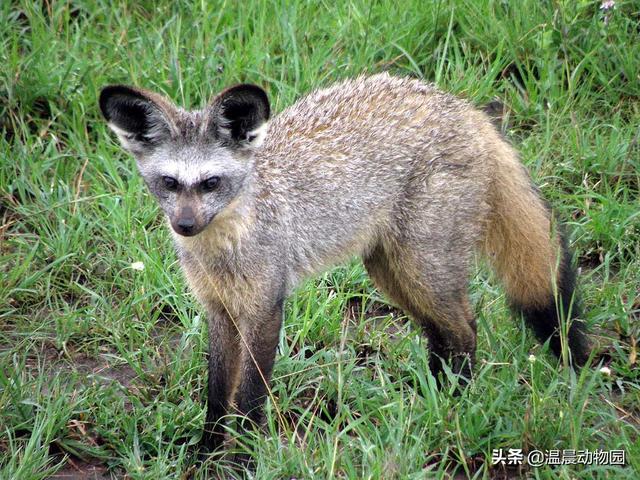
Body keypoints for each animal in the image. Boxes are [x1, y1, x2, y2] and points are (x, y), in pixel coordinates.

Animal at [97, 73, 592, 456]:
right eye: (169, 183)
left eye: (210, 183)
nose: (184, 225)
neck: (226, 249)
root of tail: (461, 106)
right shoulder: (220, 311)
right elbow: (217, 397)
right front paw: (206, 454)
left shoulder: (265, 307)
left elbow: (251, 399)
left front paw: (243, 458)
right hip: (393, 274)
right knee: (443, 335)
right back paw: (430, 401)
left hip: (421, 269)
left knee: (467, 330)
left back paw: (455, 404)